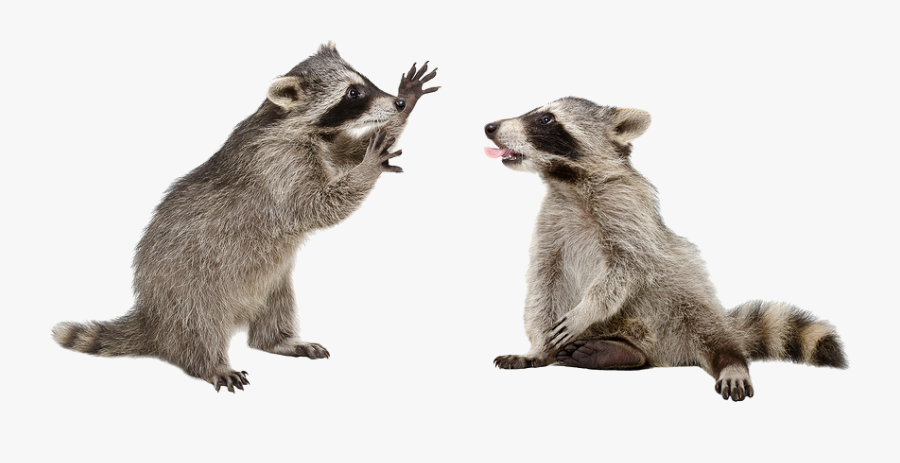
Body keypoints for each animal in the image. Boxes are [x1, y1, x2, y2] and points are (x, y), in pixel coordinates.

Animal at [52, 42, 438, 392]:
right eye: (353, 93)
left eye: (365, 81)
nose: (396, 103)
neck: (290, 122)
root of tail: (153, 314)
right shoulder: (277, 165)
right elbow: (316, 206)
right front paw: (369, 166)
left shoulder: (325, 143)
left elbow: (348, 152)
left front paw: (401, 112)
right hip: (191, 286)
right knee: (199, 327)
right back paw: (210, 363)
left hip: (271, 280)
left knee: (276, 307)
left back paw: (278, 339)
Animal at [484, 97, 846, 401]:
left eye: (545, 119)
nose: (490, 127)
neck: (568, 183)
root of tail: (665, 355)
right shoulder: (551, 226)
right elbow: (542, 284)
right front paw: (537, 347)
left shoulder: (630, 216)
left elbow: (626, 269)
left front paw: (586, 309)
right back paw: (616, 352)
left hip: (685, 305)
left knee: (710, 330)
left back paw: (731, 361)